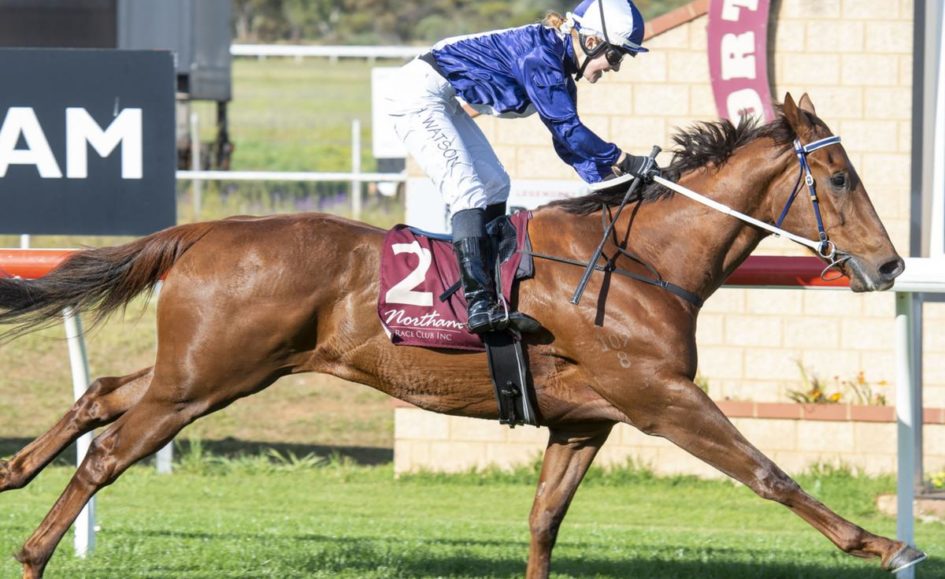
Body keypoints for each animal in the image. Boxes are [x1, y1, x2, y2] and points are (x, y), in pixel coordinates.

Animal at [0, 93, 926, 578]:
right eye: (838, 177)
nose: (887, 265)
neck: (639, 261)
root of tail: (206, 229)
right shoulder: (661, 398)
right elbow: (770, 473)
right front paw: (885, 543)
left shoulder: (583, 419)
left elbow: (543, 519)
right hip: (208, 376)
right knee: (108, 452)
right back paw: (37, 551)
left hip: (206, 366)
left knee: (100, 393)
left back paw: (13, 471)